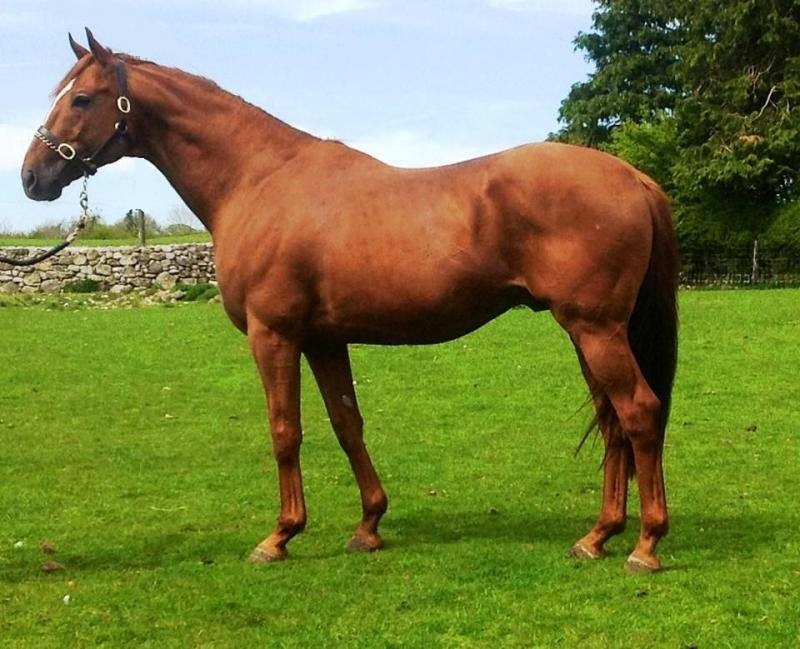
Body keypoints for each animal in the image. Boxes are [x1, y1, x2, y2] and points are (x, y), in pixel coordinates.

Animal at [21, 30, 678, 573]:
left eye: (82, 100)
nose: (31, 177)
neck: (258, 180)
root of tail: (633, 176)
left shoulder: (274, 335)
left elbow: (285, 430)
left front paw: (280, 536)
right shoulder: (323, 338)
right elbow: (346, 424)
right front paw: (368, 526)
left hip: (595, 329)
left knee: (639, 412)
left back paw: (645, 545)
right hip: (587, 332)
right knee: (613, 422)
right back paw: (598, 536)